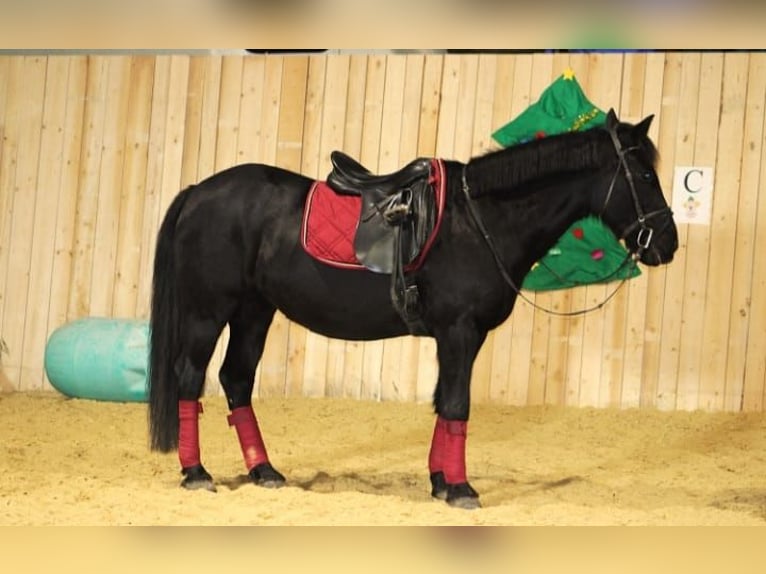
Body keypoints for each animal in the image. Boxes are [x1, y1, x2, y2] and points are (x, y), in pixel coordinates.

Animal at [148, 110, 680, 510]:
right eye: (644, 175)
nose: (667, 243)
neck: (482, 221)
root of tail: (199, 191)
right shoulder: (460, 330)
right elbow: (458, 404)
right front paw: (461, 489)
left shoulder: (461, 335)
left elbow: (444, 404)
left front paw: (442, 481)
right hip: (208, 311)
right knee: (190, 377)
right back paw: (196, 472)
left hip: (255, 311)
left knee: (237, 380)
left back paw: (263, 470)